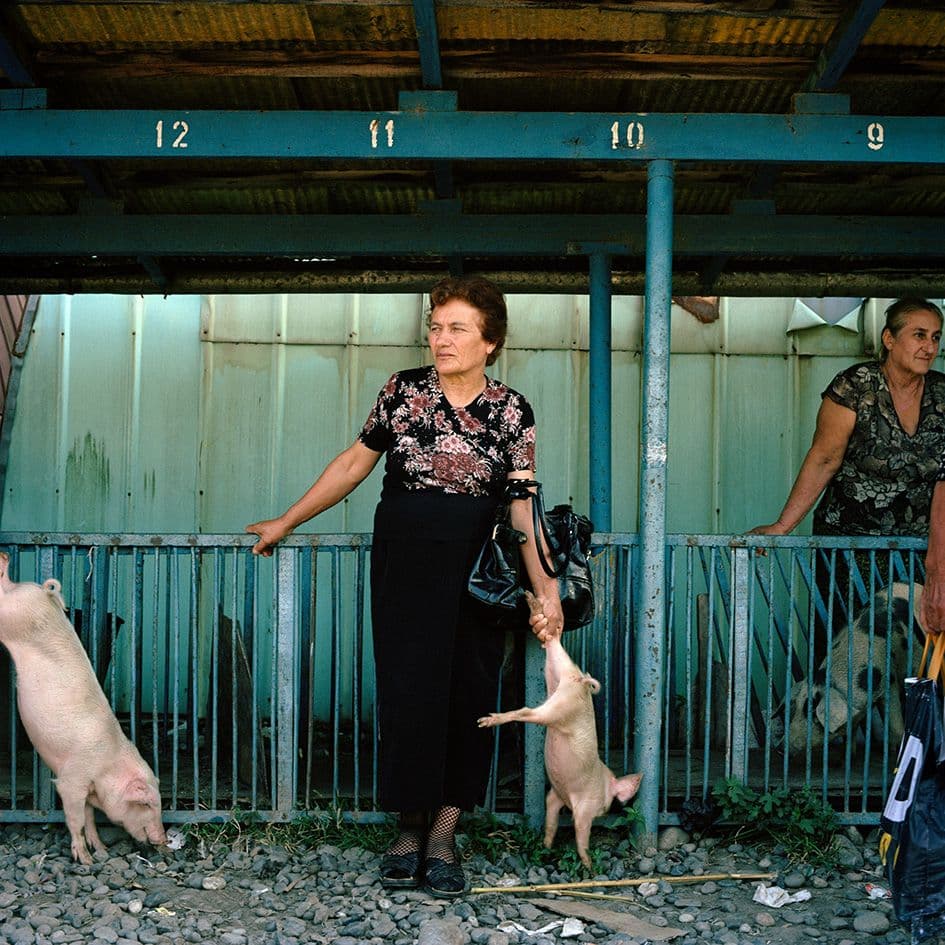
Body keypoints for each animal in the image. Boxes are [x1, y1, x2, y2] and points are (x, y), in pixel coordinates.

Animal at [0, 552, 166, 864]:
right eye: (148, 805)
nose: (163, 840)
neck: (107, 764)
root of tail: (42, 592)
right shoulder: (72, 780)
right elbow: (75, 819)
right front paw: (85, 860)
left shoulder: (88, 791)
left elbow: (89, 819)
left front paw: (101, 850)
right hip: (10, 613)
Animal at [480, 592, 640, 868]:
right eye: (607, 805)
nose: (605, 812)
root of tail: (579, 681)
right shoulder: (585, 808)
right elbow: (581, 834)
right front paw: (589, 866)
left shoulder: (554, 797)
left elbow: (551, 823)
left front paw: (545, 848)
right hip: (561, 708)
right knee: (526, 712)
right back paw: (486, 721)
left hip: (556, 677)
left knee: (552, 641)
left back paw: (532, 602)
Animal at [784, 584, 924, 752]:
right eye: (797, 708)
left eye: (812, 713)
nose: (780, 747)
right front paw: (849, 753)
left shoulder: (888, 680)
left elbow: (893, 718)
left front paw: (894, 748)